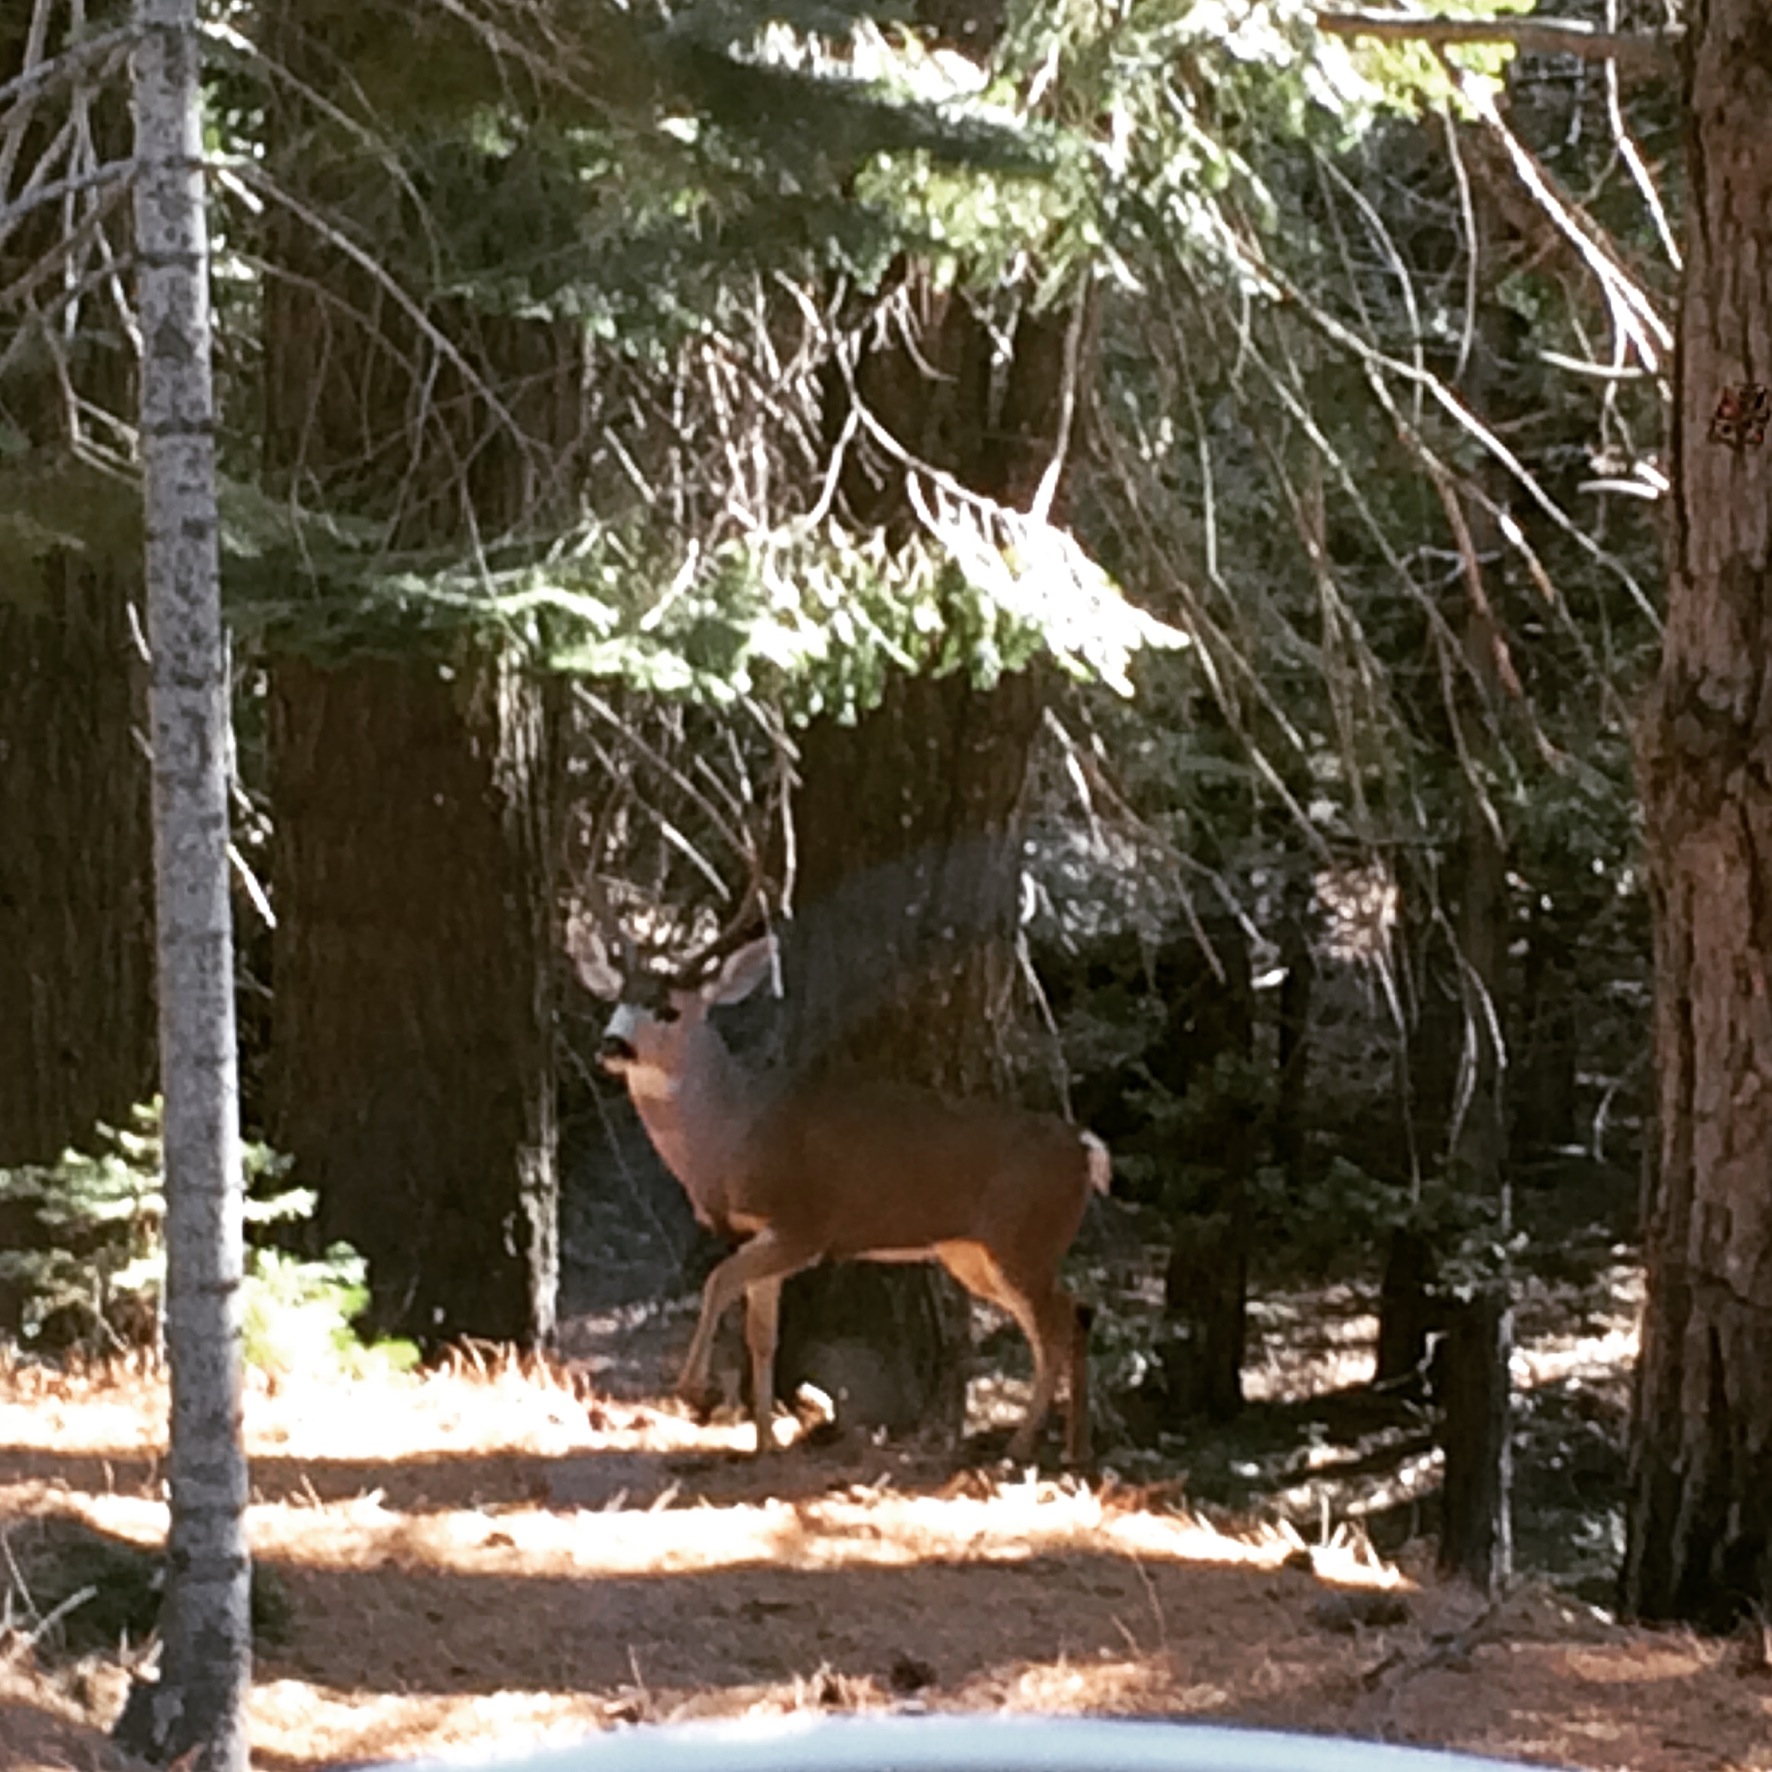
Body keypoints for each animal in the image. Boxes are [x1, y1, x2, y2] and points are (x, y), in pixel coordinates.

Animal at [574, 921, 1112, 1460]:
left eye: (668, 1009)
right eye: (617, 999)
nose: (612, 1045)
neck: (734, 1135)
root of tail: (1083, 1148)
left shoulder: (805, 1225)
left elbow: (717, 1281)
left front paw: (695, 1391)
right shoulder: (764, 1234)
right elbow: (762, 1334)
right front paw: (765, 1440)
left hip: (1025, 1240)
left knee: (1058, 1324)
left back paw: (1023, 1447)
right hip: (976, 1255)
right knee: (1071, 1315)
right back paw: (1073, 1448)